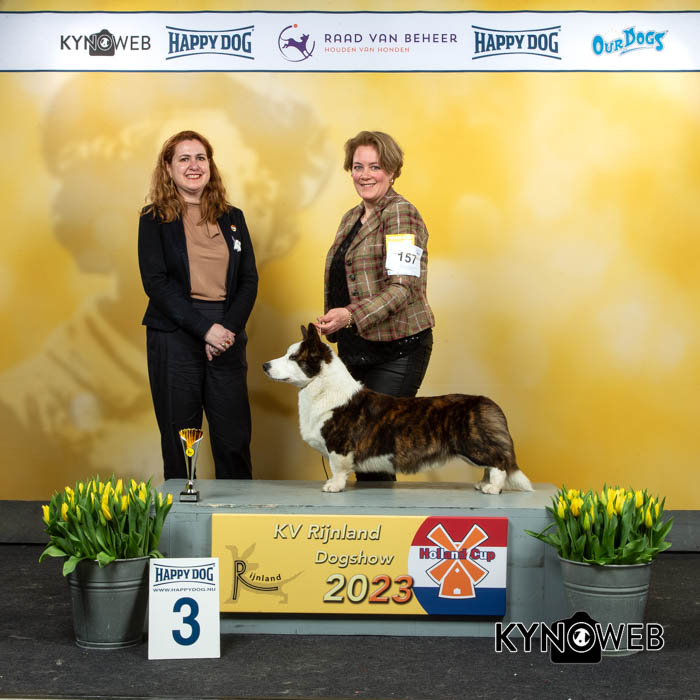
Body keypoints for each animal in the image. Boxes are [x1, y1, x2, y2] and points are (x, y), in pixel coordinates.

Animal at [263, 324, 532, 495]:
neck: (323, 386)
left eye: (293, 357)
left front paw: (333, 487)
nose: (265, 365)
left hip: (473, 444)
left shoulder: (339, 446)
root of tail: (488, 403)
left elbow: (338, 468)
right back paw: (482, 484)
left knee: (498, 462)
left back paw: (492, 488)